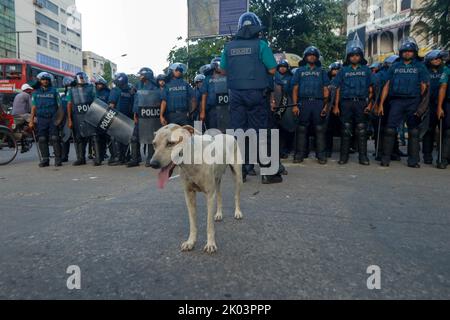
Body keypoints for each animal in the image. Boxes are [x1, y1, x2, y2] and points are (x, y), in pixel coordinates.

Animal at [149, 124, 243, 254]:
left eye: (170, 143)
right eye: (154, 144)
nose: (153, 163)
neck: (191, 161)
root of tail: (227, 135)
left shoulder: (209, 195)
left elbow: (209, 224)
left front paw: (210, 244)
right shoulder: (189, 195)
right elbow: (192, 223)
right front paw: (190, 242)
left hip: (237, 176)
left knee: (236, 196)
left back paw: (238, 212)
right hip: (217, 180)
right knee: (219, 195)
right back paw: (219, 214)